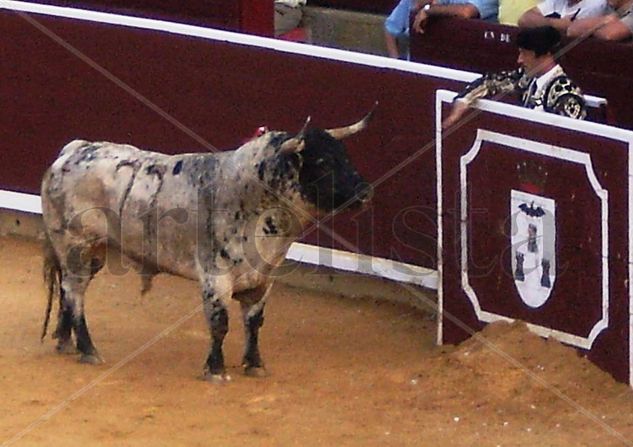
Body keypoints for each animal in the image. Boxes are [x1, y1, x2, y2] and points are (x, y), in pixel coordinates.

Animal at [39, 110, 372, 384]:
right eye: (323, 162)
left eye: (345, 155)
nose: (365, 191)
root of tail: (72, 150)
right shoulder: (216, 277)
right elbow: (219, 323)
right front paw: (215, 370)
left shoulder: (263, 279)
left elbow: (254, 322)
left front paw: (255, 365)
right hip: (75, 247)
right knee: (75, 293)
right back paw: (88, 349)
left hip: (94, 252)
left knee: (69, 292)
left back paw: (65, 341)